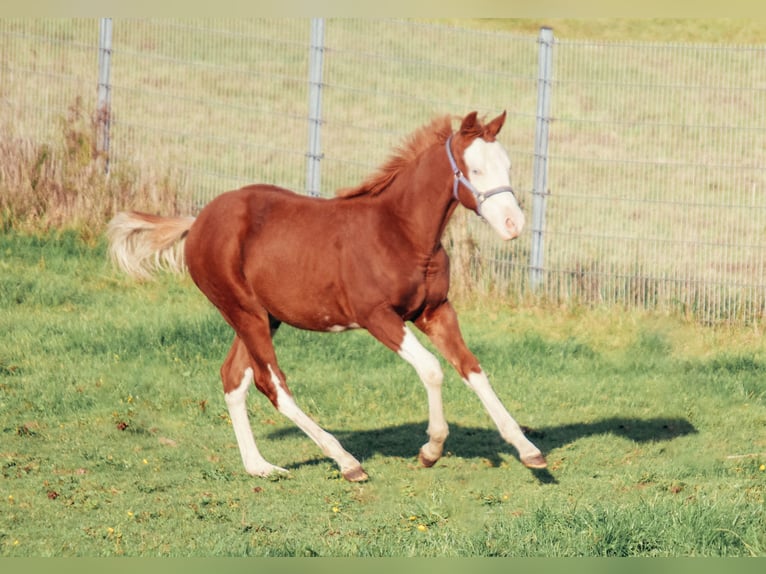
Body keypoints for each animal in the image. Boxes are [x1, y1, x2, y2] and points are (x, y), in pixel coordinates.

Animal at [106, 111, 547, 482]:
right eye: (475, 169)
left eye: (507, 166)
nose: (514, 224)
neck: (401, 232)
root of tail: (198, 221)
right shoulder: (377, 316)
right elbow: (432, 369)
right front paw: (431, 449)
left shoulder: (435, 311)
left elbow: (472, 369)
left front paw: (528, 450)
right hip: (243, 311)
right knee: (272, 383)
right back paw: (346, 462)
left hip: (264, 316)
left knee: (234, 377)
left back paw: (260, 467)